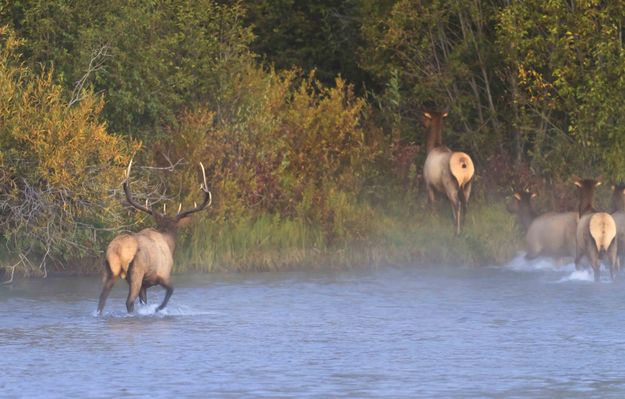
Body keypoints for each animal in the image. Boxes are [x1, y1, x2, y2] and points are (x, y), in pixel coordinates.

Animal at [95, 160, 212, 316]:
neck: (169, 243)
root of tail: (118, 251)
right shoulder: (163, 274)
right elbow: (171, 290)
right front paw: (157, 309)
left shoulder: (145, 285)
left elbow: (145, 301)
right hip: (136, 272)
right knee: (128, 301)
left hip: (109, 270)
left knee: (101, 299)